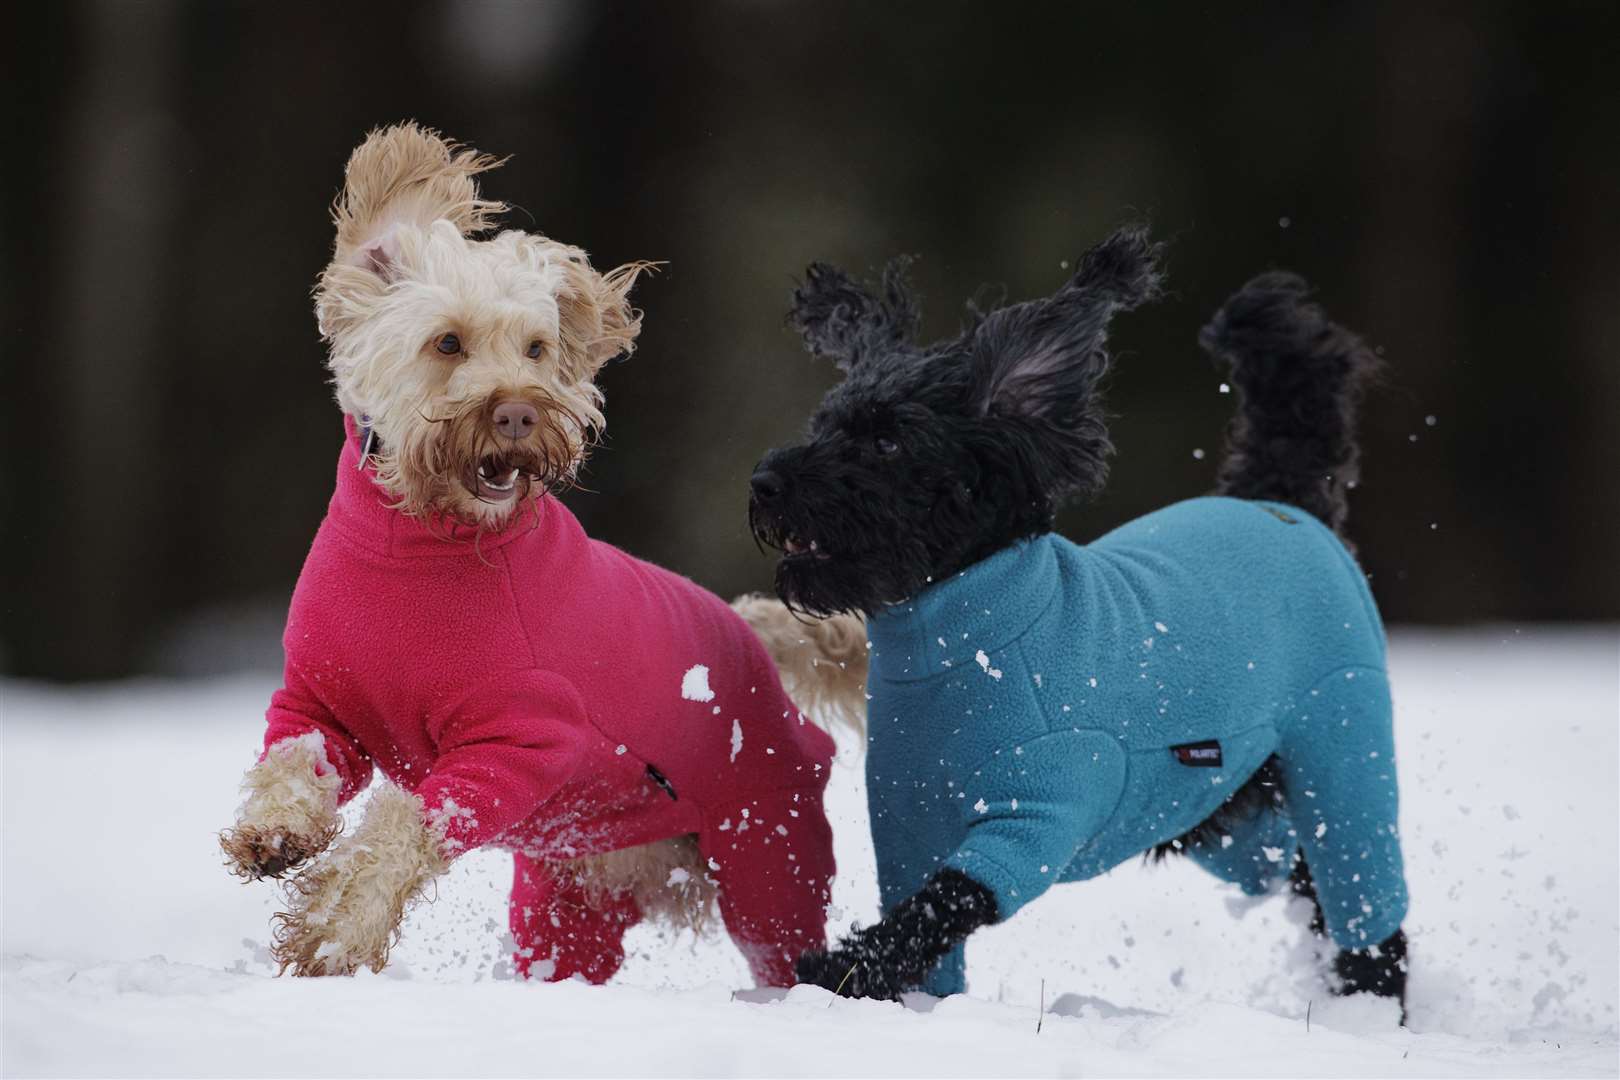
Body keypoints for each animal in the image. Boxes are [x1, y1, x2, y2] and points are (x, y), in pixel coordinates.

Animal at [745, 226, 1406, 1016]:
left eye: (887, 441)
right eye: (823, 425)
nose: (766, 481)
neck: (963, 639)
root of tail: (1279, 502)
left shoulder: (1039, 812)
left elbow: (940, 904)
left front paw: (838, 971)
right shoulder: (907, 826)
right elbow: (925, 930)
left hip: (1341, 749)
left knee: (1369, 907)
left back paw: (1372, 1008)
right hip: (1216, 809)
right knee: (1290, 870)